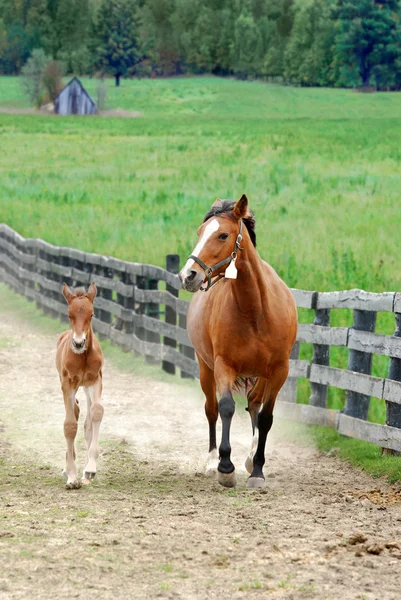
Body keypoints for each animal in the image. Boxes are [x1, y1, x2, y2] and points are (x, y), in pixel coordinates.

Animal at [180, 196, 296, 488]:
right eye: (200, 232)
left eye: (222, 235)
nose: (188, 275)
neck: (256, 311)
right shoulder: (224, 366)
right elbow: (226, 408)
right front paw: (225, 467)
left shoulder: (278, 371)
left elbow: (265, 417)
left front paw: (257, 470)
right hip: (205, 369)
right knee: (211, 410)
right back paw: (212, 462)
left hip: (261, 375)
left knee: (254, 405)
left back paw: (251, 458)